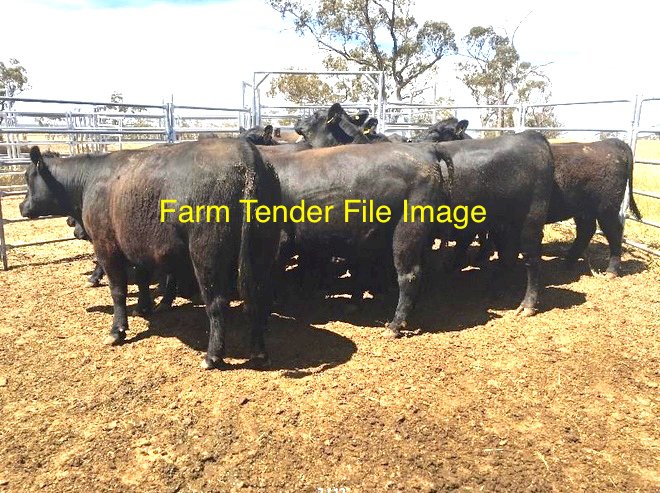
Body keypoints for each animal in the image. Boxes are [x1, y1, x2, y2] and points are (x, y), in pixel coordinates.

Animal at [20, 140, 281, 369]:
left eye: (27, 177)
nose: (21, 207)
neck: (88, 181)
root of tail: (246, 154)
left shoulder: (107, 248)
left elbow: (118, 291)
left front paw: (117, 330)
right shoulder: (138, 246)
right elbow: (143, 279)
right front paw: (143, 307)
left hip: (207, 253)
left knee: (217, 303)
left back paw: (212, 356)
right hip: (261, 250)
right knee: (257, 298)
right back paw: (259, 352)